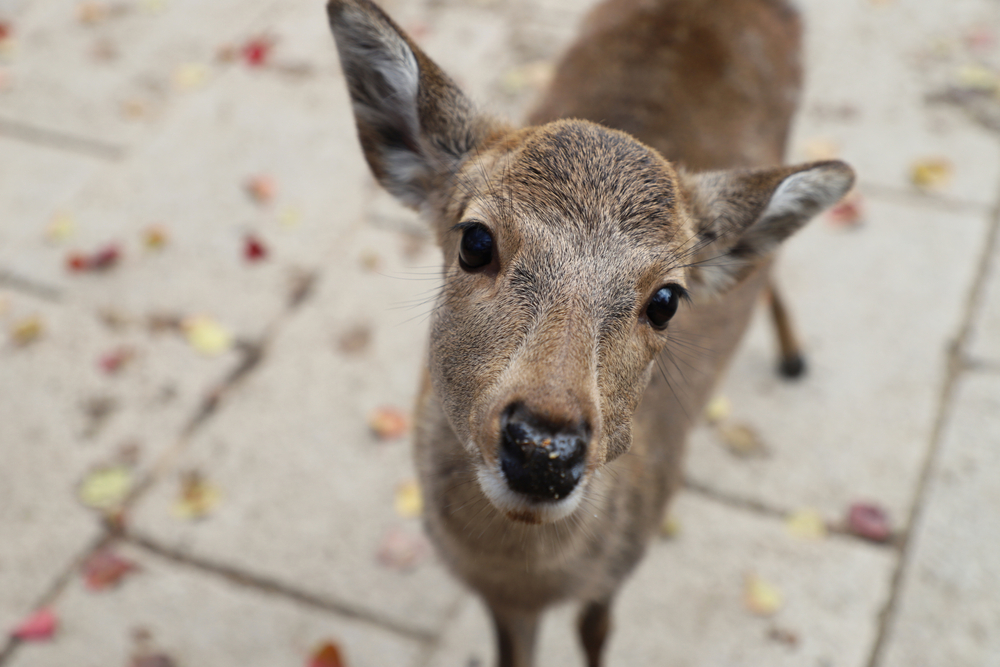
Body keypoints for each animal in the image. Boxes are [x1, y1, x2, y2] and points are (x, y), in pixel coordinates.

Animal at [326, 0, 852, 664]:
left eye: (666, 300)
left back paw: (793, 357)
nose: (543, 450)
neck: (531, 577)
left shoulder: (621, 565)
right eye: (475, 241)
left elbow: (596, 633)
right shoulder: (501, 601)